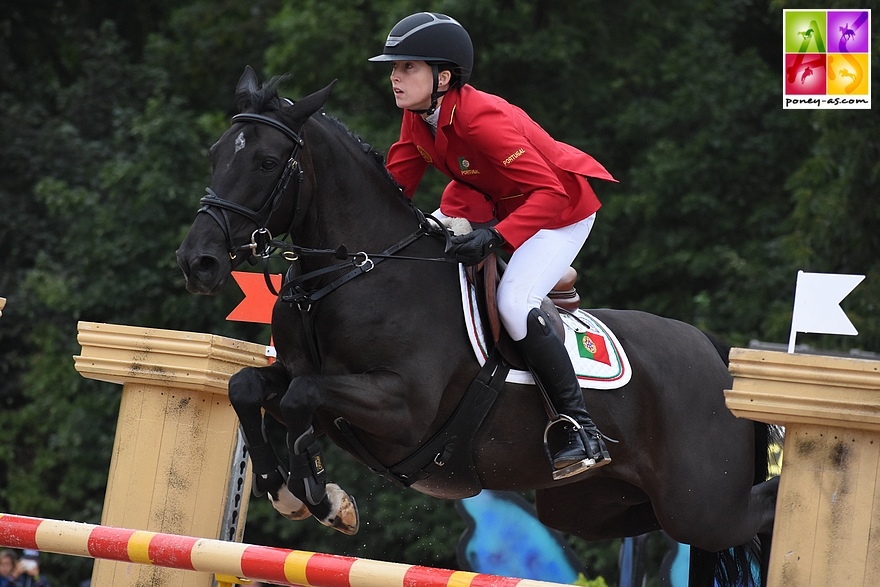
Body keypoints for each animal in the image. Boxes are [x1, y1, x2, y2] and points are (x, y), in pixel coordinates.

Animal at [177, 68, 776, 584]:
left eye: (266, 162)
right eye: (214, 155)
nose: (197, 262)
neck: (355, 271)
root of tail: (716, 353)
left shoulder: (401, 408)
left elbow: (303, 397)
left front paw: (327, 500)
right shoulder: (304, 381)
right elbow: (247, 386)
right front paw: (286, 492)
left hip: (701, 503)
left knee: (759, 513)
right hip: (596, 505)